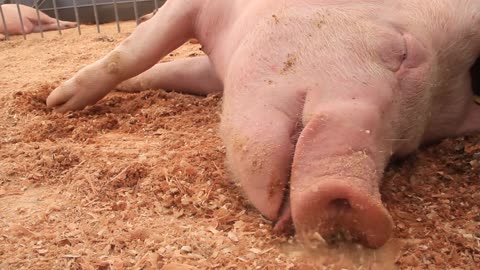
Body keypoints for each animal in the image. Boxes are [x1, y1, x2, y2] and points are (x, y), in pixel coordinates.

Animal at [45, 0, 480, 248]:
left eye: (406, 147)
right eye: (402, 52)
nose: (361, 206)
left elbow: (178, 67)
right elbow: (135, 52)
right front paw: (56, 103)